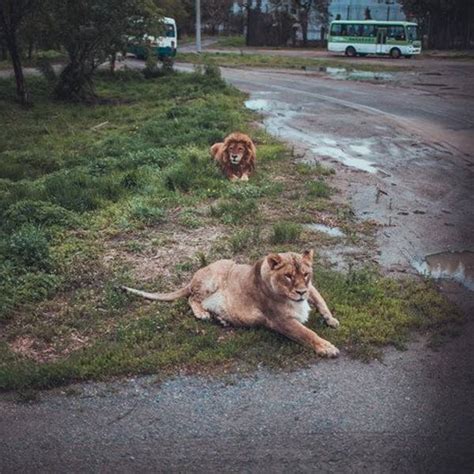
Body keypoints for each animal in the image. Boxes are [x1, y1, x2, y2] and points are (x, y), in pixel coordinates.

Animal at [120, 252, 338, 356]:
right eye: (288, 276)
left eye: (306, 274)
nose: (300, 292)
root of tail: (193, 277)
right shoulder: (279, 320)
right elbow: (307, 333)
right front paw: (327, 347)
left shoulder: (311, 288)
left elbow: (320, 299)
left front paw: (331, 319)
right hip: (216, 275)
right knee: (192, 298)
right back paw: (203, 314)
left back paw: (222, 319)